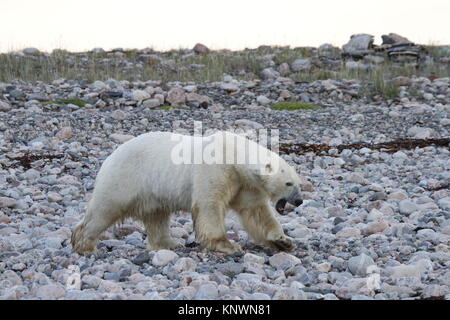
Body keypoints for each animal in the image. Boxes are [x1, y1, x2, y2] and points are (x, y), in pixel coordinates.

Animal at [70, 131, 302, 255]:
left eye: (299, 182)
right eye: (288, 183)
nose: (299, 200)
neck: (233, 155)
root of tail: (111, 155)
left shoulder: (245, 184)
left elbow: (256, 212)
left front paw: (283, 240)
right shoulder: (215, 169)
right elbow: (209, 205)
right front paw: (228, 245)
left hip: (151, 192)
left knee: (157, 216)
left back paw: (169, 243)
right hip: (124, 178)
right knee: (105, 209)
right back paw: (84, 244)